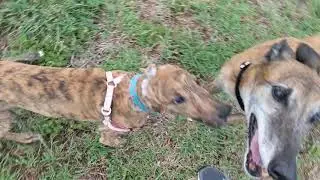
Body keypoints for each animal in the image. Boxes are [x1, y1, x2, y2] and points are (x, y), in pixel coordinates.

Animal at [0, 59, 231, 147]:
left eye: (196, 81)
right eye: (178, 99)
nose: (227, 110)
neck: (134, 91)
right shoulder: (109, 129)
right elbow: (109, 139)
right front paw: (118, 144)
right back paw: (27, 137)